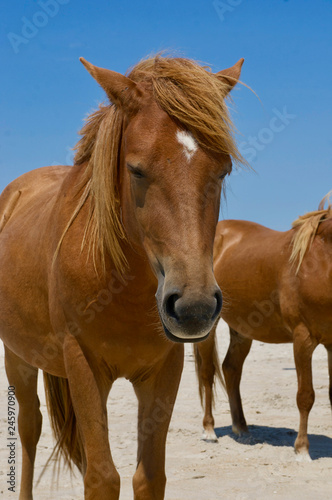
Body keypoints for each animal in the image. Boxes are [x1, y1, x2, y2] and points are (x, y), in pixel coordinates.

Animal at [0, 54, 244, 500]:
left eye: (223, 171)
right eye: (136, 170)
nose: (194, 307)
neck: (120, 285)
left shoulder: (162, 371)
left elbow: (148, 477)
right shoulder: (84, 367)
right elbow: (101, 477)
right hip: (18, 358)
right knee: (28, 429)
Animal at [195, 194, 332, 460]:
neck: (318, 261)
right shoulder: (303, 339)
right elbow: (305, 396)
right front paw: (302, 449)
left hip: (242, 329)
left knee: (231, 369)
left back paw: (241, 428)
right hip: (210, 324)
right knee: (208, 373)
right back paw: (209, 430)